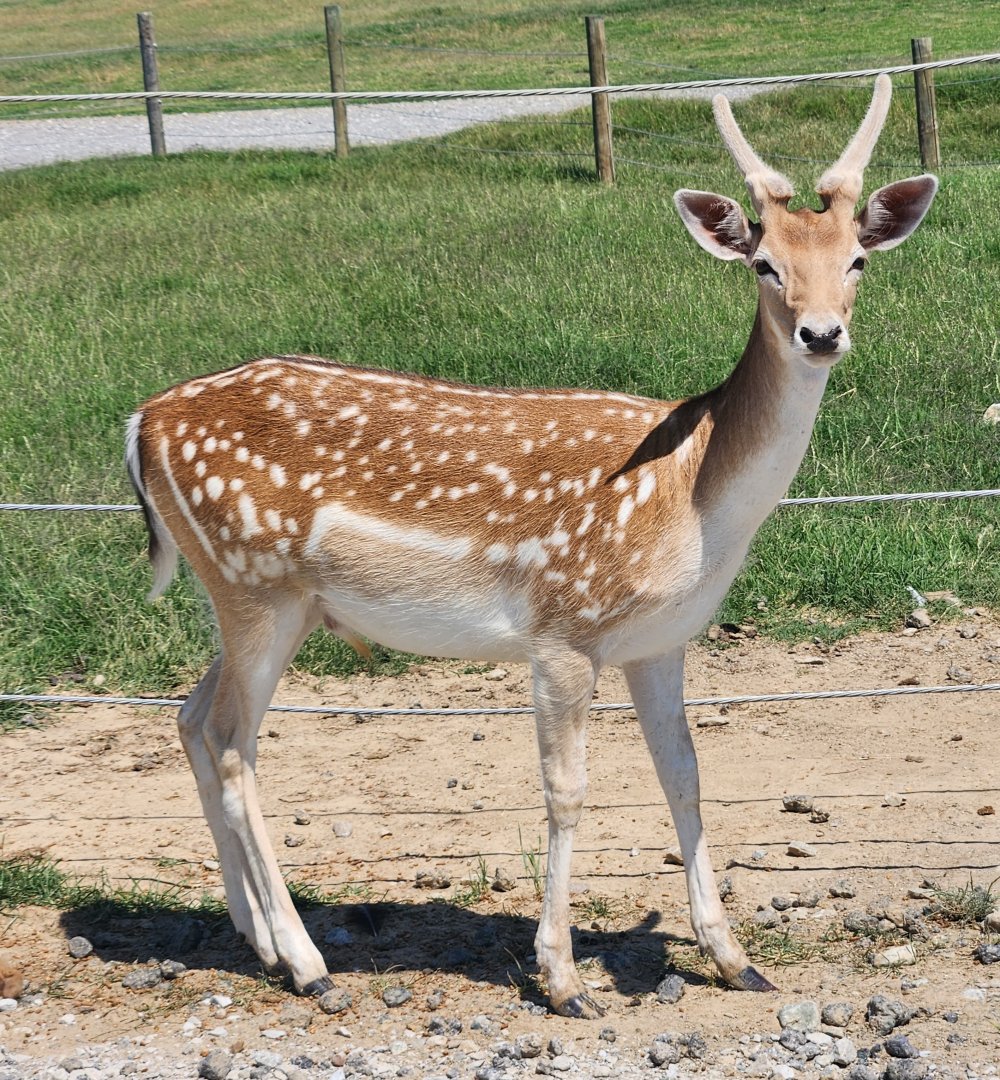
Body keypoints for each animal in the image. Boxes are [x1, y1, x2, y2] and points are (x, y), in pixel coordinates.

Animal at [125, 75, 936, 1018]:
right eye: (765, 263)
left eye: (857, 260)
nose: (821, 333)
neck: (694, 498)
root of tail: (141, 422)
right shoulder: (563, 630)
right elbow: (567, 791)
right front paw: (562, 978)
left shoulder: (661, 641)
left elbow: (686, 774)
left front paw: (734, 959)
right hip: (255, 584)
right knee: (232, 744)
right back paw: (306, 961)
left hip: (249, 597)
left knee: (190, 719)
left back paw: (254, 940)